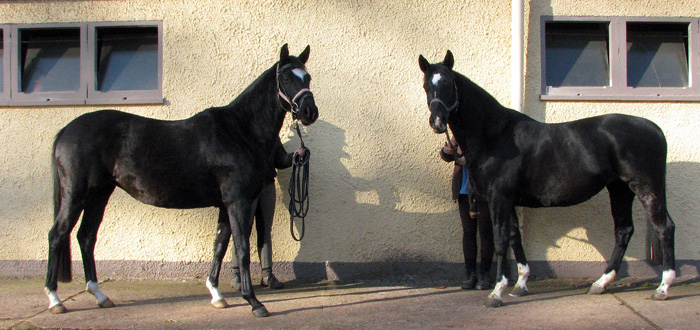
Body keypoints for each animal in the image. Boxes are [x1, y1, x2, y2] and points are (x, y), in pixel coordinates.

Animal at [43, 44, 318, 318]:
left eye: (307, 78)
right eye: (285, 78)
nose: (309, 112)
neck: (240, 131)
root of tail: (67, 130)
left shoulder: (225, 204)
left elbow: (219, 245)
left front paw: (216, 294)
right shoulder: (239, 202)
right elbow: (241, 249)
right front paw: (254, 302)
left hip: (99, 193)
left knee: (86, 237)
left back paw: (100, 295)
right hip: (76, 194)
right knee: (57, 235)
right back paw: (55, 299)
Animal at [418, 51, 676, 306]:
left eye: (449, 83)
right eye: (426, 85)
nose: (438, 122)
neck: (494, 135)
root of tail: (655, 129)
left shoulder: (498, 198)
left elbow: (501, 241)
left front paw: (497, 292)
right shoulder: (508, 201)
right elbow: (515, 238)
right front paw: (521, 285)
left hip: (645, 187)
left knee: (664, 227)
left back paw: (663, 288)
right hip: (620, 189)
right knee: (623, 231)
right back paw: (600, 284)